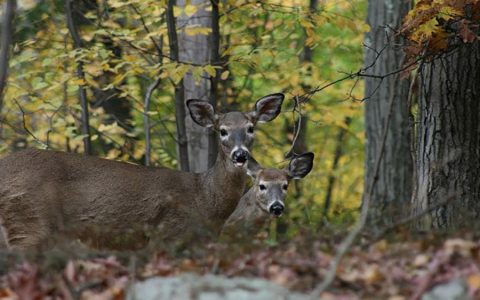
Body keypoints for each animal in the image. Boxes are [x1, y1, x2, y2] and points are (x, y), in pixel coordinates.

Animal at [0, 92, 284, 250]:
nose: (240, 155)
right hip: (29, 221)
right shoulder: (168, 234)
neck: (203, 198)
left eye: (251, 128)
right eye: (222, 130)